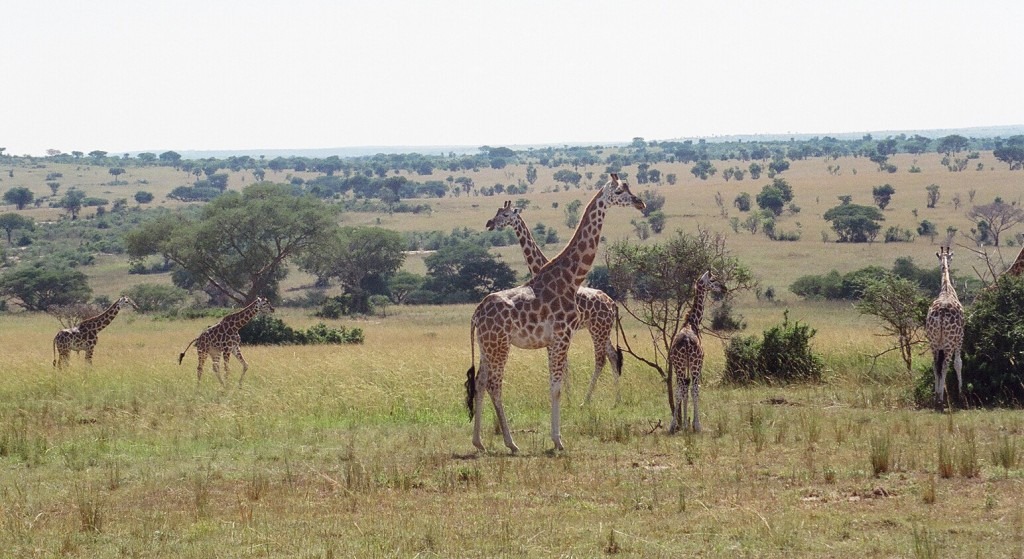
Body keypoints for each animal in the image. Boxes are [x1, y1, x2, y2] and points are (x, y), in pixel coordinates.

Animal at [485, 200, 622, 405]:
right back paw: (617, 399)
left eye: (506, 215)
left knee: (603, 358)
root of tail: (612, 303)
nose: (490, 223)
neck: (539, 266)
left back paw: (587, 400)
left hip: (599, 328)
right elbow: (564, 363)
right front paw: (567, 397)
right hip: (600, 328)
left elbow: (563, 364)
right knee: (612, 355)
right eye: (497, 212)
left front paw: (569, 399)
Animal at [667, 268, 724, 432]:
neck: (692, 322)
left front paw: (685, 424)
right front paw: (693, 424)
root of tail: (686, 341)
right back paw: (697, 425)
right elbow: (693, 390)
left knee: (680, 389)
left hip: (679, 365)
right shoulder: (698, 363)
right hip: (696, 364)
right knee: (694, 389)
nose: (724, 288)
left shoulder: (684, 365)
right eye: (713, 280)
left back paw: (672, 426)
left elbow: (684, 391)